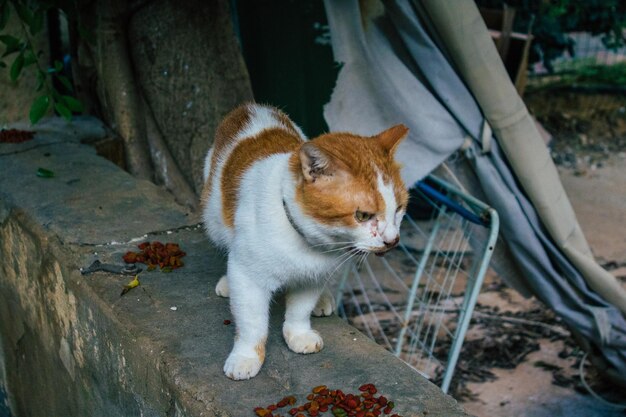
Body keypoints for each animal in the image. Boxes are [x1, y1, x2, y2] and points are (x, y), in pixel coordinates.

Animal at [197, 102, 408, 378]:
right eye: (362, 215)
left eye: (399, 209)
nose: (393, 240)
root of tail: (251, 108)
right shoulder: (249, 278)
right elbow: (252, 323)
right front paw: (246, 356)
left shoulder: (313, 275)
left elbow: (300, 309)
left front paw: (298, 334)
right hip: (214, 217)